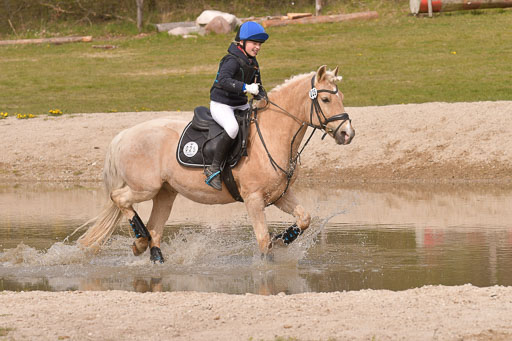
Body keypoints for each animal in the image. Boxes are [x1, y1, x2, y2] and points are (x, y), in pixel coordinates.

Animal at [76, 65, 354, 262]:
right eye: (326, 101)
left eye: (341, 97)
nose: (347, 134)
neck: (274, 133)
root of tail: (124, 134)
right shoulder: (254, 199)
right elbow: (263, 241)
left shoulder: (279, 195)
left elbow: (304, 219)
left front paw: (283, 239)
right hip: (145, 188)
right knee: (120, 199)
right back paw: (140, 241)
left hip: (165, 194)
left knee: (155, 230)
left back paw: (151, 251)